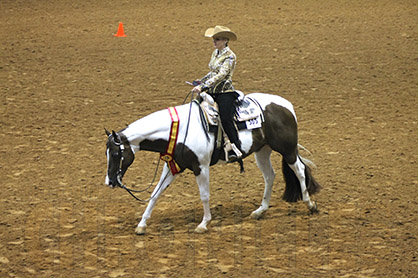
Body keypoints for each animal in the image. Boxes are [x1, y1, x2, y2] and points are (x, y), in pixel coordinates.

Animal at [104, 93, 320, 235]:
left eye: (115, 153)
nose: (110, 182)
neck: (179, 129)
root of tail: (286, 105)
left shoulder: (201, 167)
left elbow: (204, 196)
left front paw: (203, 224)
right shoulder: (172, 167)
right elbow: (155, 194)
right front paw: (141, 224)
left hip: (287, 149)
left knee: (300, 171)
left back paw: (310, 205)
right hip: (262, 151)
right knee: (270, 176)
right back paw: (260, 211)